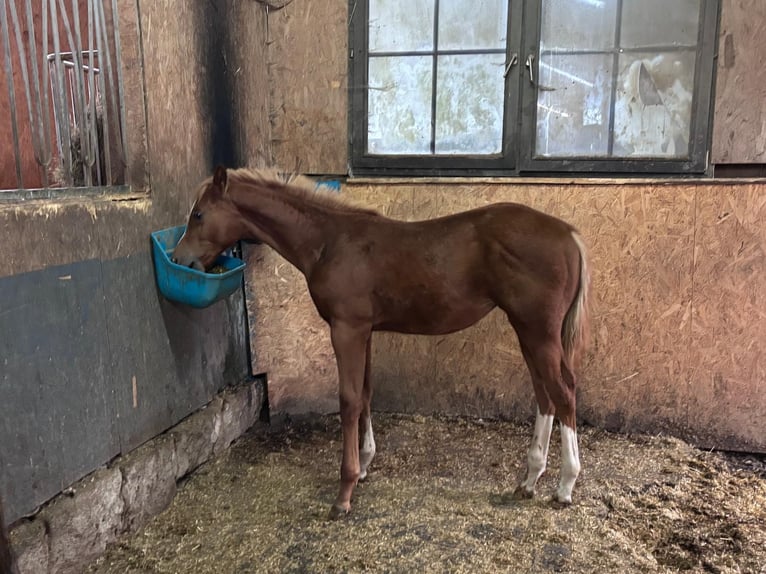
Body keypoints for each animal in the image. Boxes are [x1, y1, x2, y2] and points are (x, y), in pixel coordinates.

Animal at [172, 166, 590, 519]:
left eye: (199, 215)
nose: (181, 260)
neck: (329, 242)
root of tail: (570, 234)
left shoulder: (346, 329)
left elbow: (348, 400)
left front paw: (344, 493)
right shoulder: (365, 330)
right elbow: (366, 393)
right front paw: (364, 465)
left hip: (538, 331)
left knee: (563, 391)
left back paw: (565, 486)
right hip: (528, 331)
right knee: (545, 393)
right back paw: (529, 480)